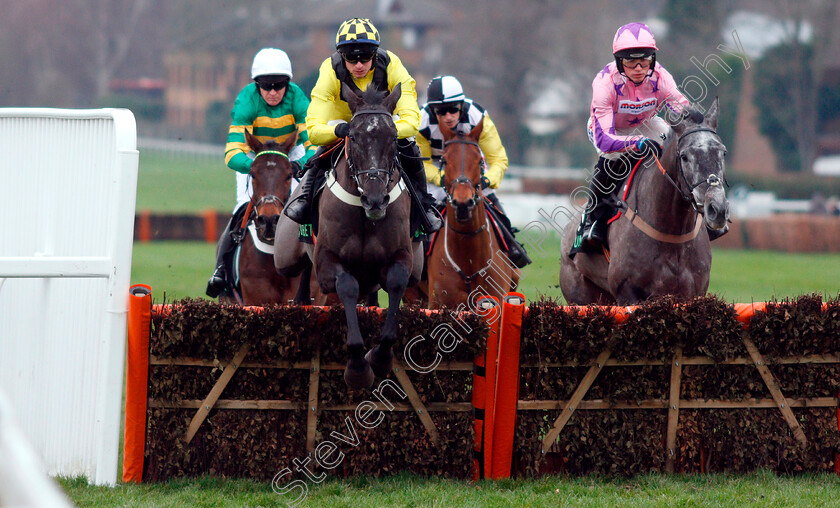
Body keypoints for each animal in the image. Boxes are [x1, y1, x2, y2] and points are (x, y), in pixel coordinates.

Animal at [314, 82, 424, 388]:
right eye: (353, 136)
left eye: (394, 137)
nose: (375, 200)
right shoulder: (326, 265)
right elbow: (347, 285)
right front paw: (357, 368)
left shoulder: (401, 257)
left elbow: (397, 283)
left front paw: (379, 357)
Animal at [560, 98, 732, 306]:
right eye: (684, 156)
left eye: (723, 153)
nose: (717, 209)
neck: (673, 234)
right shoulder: (628, 294)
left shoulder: (693, 293)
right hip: (581, 296)